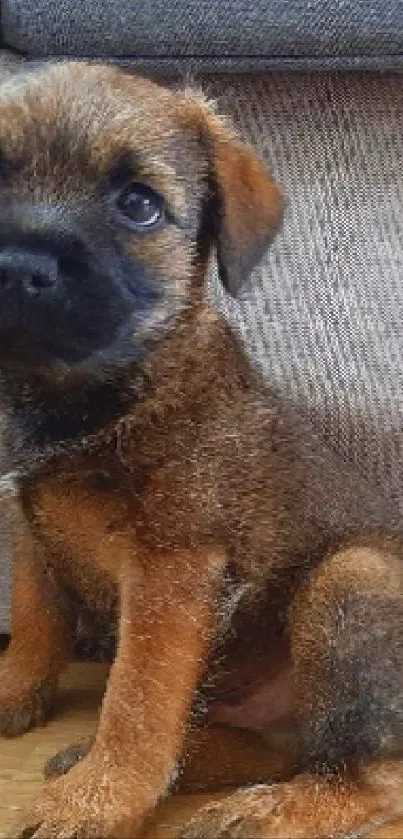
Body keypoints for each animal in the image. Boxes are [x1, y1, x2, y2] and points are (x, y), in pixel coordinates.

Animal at [0, 60, 403, 839]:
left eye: (139, 206)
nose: (17, 265)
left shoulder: (171, 569)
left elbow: (136, 701)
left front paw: (93, 803)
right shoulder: (31, 536)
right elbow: (34, 623)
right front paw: (15, 695)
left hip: (351, 577)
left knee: (370, 776)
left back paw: (265, 812)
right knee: (272, 746)